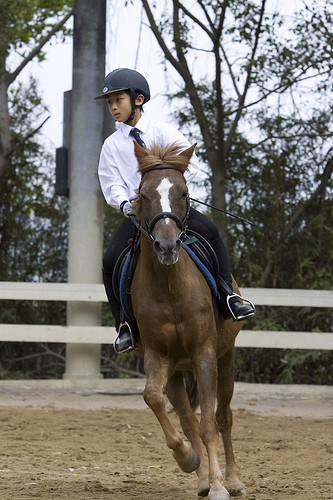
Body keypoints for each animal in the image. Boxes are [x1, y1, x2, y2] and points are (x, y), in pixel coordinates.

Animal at [131, 142, 245, 500]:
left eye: (184, 192)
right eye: (144, 194)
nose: (167, 246)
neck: (170, 287)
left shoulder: (205, 354)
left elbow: (210, 424)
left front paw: (221, 487)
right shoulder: (158, 356)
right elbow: (153, 397)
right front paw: (188, 459)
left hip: (226, 358)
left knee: (224, 417)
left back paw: (232, 480)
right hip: (178, 371)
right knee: (185, 418)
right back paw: (202, 478)